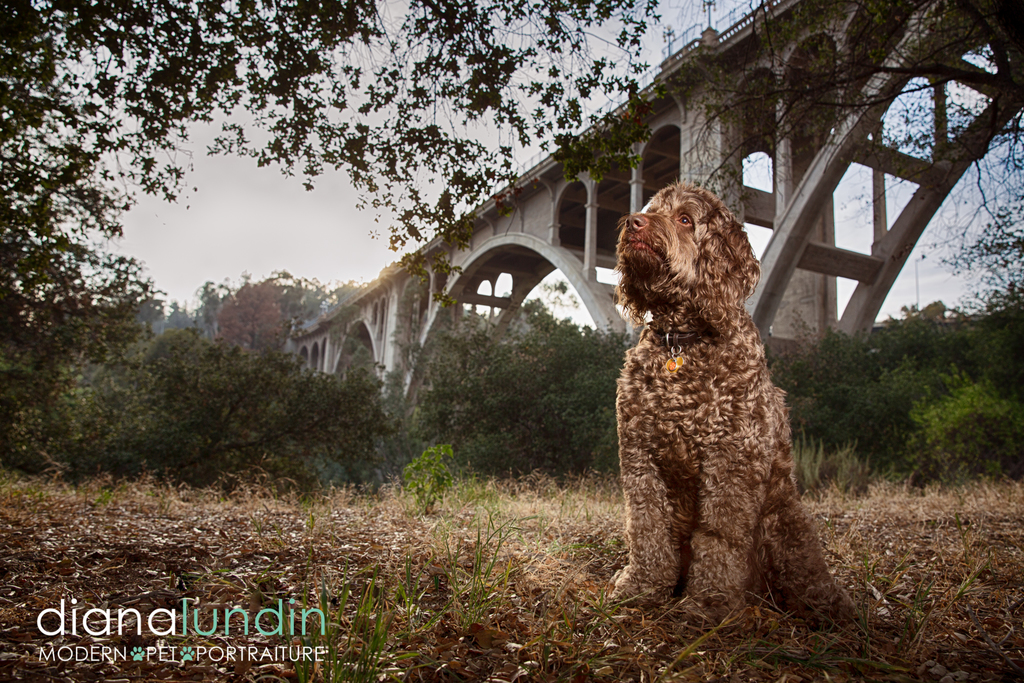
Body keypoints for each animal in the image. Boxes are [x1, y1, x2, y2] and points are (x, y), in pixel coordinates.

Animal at [609, 181, 855, 625]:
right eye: (653, 208)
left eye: (684, 219)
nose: (634, 221)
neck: (682, 340)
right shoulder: (640, 454)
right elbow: (646, 526)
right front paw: (641, 587)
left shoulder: (732, 458)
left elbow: (719, 537)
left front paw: (708, 603)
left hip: (785, 523)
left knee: (808, 572)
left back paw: (830, 607)